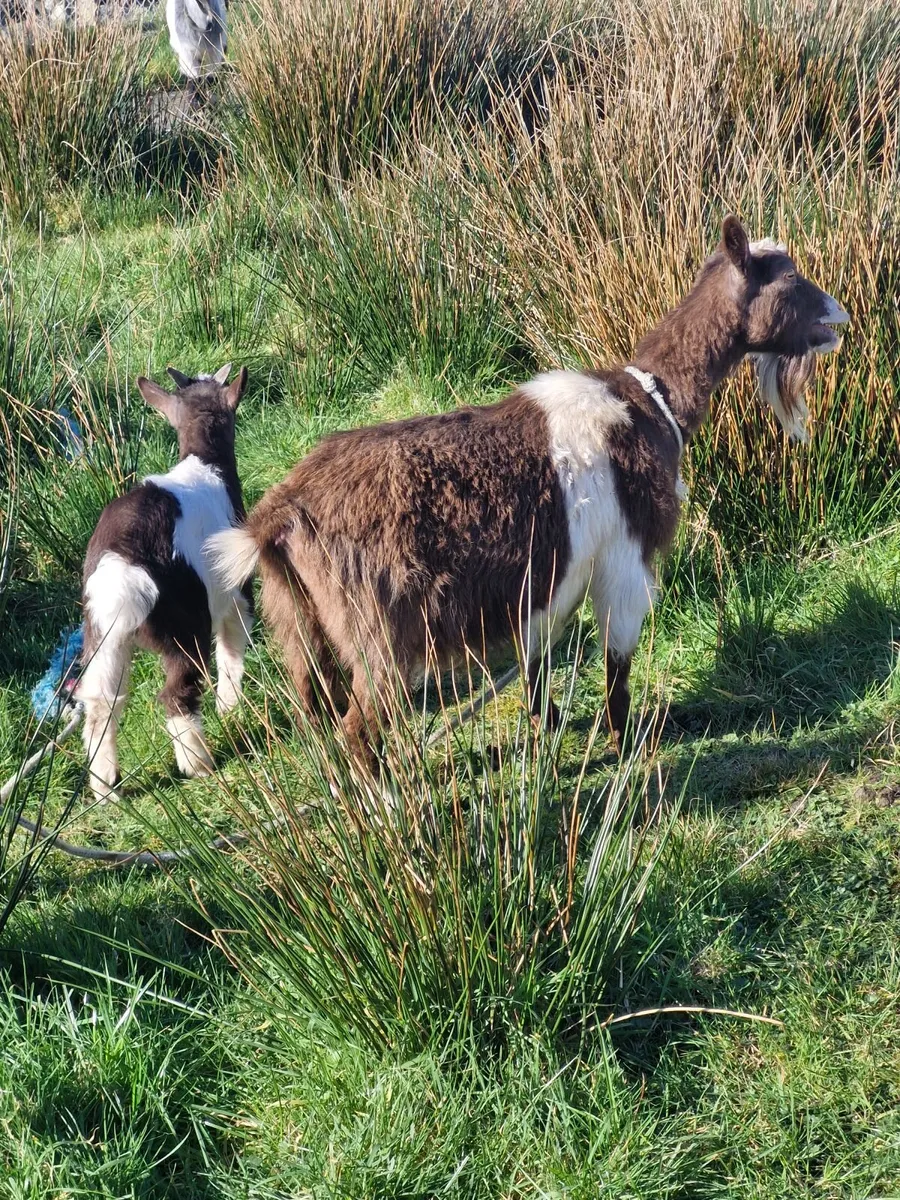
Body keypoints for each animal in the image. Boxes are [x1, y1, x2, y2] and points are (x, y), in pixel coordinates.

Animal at [77, 365, 250, 802]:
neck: (206, 464)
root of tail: (122, 565)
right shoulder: (236, 586)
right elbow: (232, 648)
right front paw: (230, 707)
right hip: (183, 625)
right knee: (177, 692)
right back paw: (198, 765)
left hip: (101, 635)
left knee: (102, 701)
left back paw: (106, 790)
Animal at [207, 217, 848, 765]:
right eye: (789, 278)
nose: (839, 319)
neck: (651, 402)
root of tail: (279, 514)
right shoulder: (624, 554)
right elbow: (617, 662)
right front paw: (625, 744)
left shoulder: (542, 581)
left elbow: (535, 664)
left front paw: (553, 730)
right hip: (376, 627)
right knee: (359, 726)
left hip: (297, 620)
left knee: (316, 716)